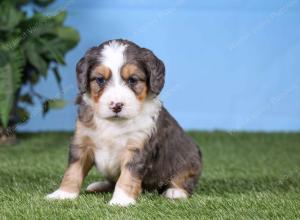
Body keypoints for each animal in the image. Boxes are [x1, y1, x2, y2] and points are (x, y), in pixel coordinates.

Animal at [45, 38, 203, 205]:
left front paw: (121, 200)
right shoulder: (82, 142)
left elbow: (127, 176)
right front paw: (63, 194)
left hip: (190, 160)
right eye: (100, 79)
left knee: (184, 179)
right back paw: (98, 185)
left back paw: (175, 192)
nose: (116, 105)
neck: (113, 123)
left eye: (133, 80)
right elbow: (73, 170)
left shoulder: (137, 147)